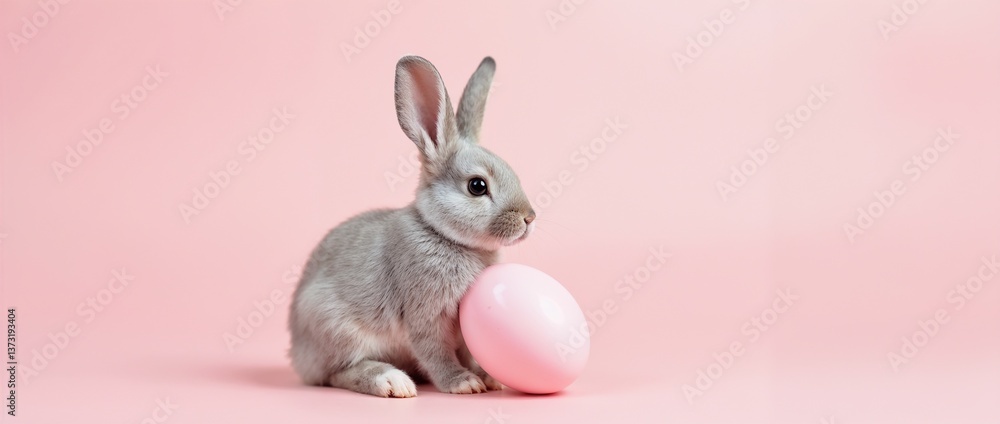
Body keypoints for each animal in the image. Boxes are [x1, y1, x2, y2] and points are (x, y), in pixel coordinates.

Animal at [288, 56, 536, 398]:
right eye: (477, 186)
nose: (529, 217)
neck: (442, 233)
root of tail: (297, 354)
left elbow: (470, 353)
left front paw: (488, 378)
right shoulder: (425, 316)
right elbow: (435, 352)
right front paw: (464, 383)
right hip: (334, 326)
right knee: (338, 373)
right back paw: (392, 381)